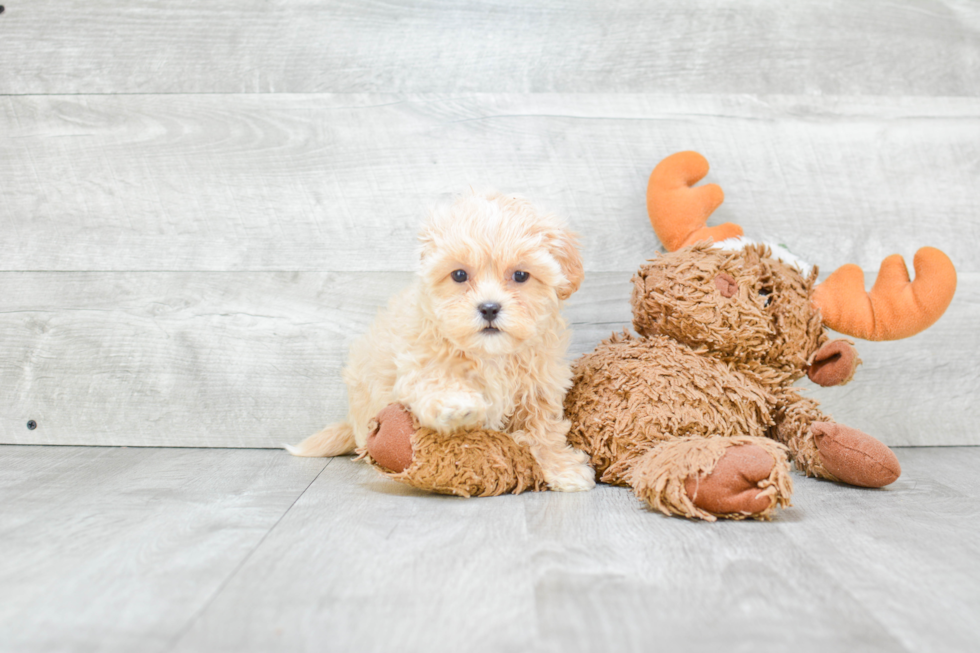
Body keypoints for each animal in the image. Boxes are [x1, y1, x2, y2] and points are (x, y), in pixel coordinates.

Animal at [290, 191, 596, 492]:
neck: (489, 355)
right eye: (459, 274)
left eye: (521, 275)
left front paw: (562, 469)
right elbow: (433, 381)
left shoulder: (540, 387)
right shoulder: (417, 361)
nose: (489, 308)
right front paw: (455, 404)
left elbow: (543, 430)